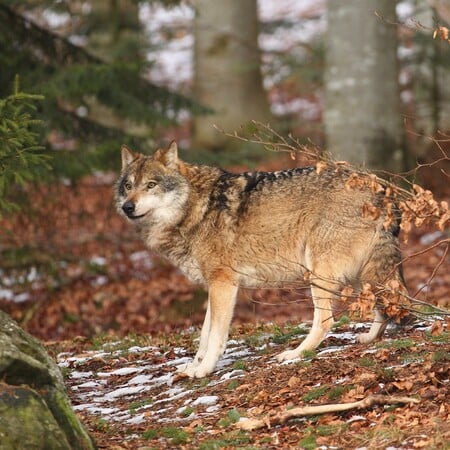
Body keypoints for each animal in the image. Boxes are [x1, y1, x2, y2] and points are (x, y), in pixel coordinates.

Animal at [116, 142, 408, 378]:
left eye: (151, 185)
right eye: (128, 186)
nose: (127, 207)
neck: (196, 208)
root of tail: (380, 188)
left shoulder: (223, 284)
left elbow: (215, 336)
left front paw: (205, 370)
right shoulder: (215, 285)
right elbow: (204, 334)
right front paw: (193, 366)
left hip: (320, 274)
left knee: (326, 321)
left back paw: (295, 354)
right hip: (360, 274)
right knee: (383, 304)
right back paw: (370, 337)